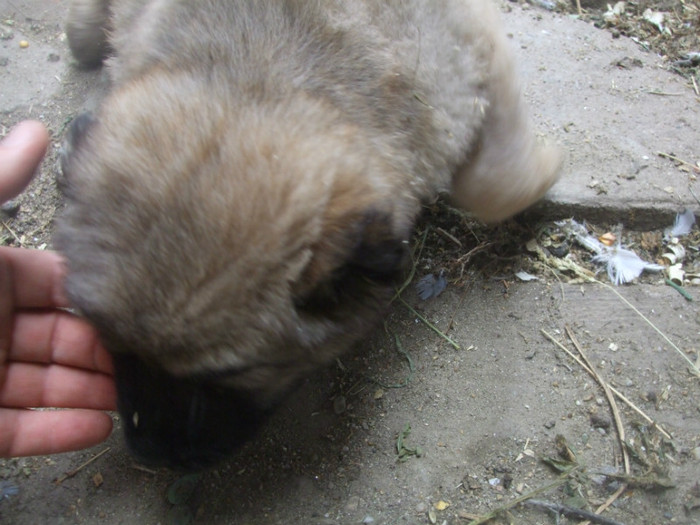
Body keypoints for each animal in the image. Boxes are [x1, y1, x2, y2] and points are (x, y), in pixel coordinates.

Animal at [57, 0, 560, 466]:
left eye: (229, 374)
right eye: (111, 343)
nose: (149, 454)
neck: (262, 74)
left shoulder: (471, 47)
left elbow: (495, 185)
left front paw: (544, 168)